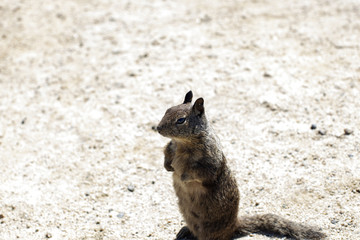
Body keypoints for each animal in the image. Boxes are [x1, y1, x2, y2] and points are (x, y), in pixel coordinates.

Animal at [156, 90, 324, 240]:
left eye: (181, 120)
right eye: (167, 110)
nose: (158, 128)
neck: (182, 144)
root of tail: (234, 225)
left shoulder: (209, 161)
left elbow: (201, 172)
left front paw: (183, 177)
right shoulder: (171, 147)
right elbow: (166, 152)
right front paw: (167, 167)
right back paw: (185, 231)